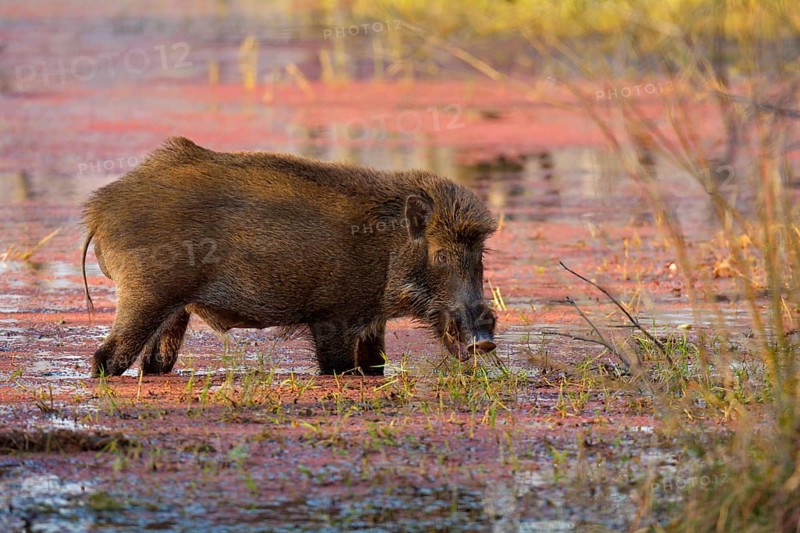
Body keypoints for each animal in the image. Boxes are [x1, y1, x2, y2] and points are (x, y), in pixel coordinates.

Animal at [81, 137, 497, 377]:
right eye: (440, 256)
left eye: (479, 255)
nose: (484, 340)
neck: (387, 247)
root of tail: (98, 209)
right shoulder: (332, 316)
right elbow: (339, 369)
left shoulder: (370, 321)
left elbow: (374, 366)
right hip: (145, 294)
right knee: (106, 359)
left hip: (174, 309)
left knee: (155, 363)